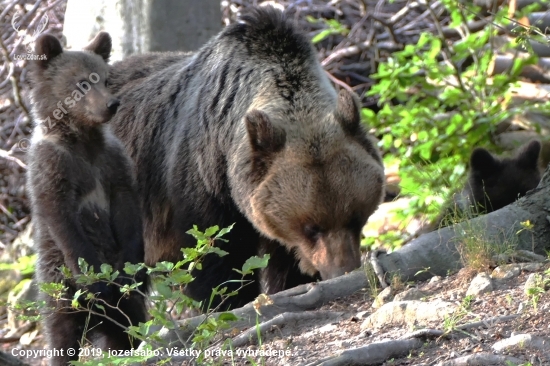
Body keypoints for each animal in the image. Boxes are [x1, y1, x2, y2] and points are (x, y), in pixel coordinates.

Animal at [111, 7, 386, 308]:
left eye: (355, 217)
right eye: (311, 227)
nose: (342, 270)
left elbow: (284, 264)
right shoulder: (199, 183)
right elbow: (214, 258)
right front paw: (230, 300)